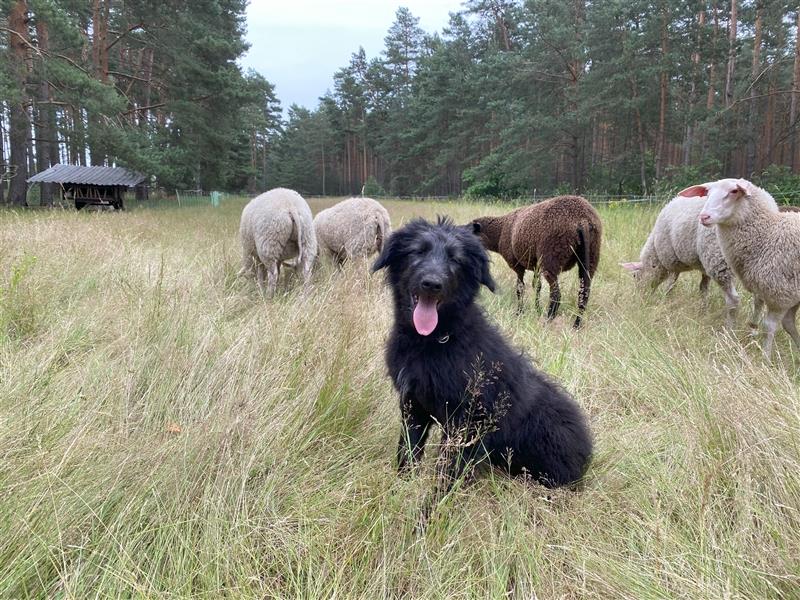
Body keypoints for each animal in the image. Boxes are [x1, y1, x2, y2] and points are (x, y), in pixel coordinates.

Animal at [372, 216, 592, 502]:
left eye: (456, 260)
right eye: (417, 251)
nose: (432, 283)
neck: (435, 341)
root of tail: (587, 455)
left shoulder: (466, 422)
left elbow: (447, 471)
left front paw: (434, 506)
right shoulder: (413, 408)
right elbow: (407, 453)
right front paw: (400, 487)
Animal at [468, 196, 600, 328]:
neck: (499, 232)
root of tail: (582, 219)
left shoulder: (518, 266)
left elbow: (520, 289)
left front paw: (519, 312)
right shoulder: (536, 266)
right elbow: (537, 286)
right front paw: (537, 310)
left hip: (551, 257)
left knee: (556, 294)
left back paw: (548, 320)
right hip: (590, 257)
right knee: (584, 293)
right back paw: (576, 325)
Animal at [684, 176, 796, 358]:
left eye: (734, 191)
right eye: (707, 192)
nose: (704, 216)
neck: (767, 234)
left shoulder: (780, 294)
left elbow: (770, 327)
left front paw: (765, 359)